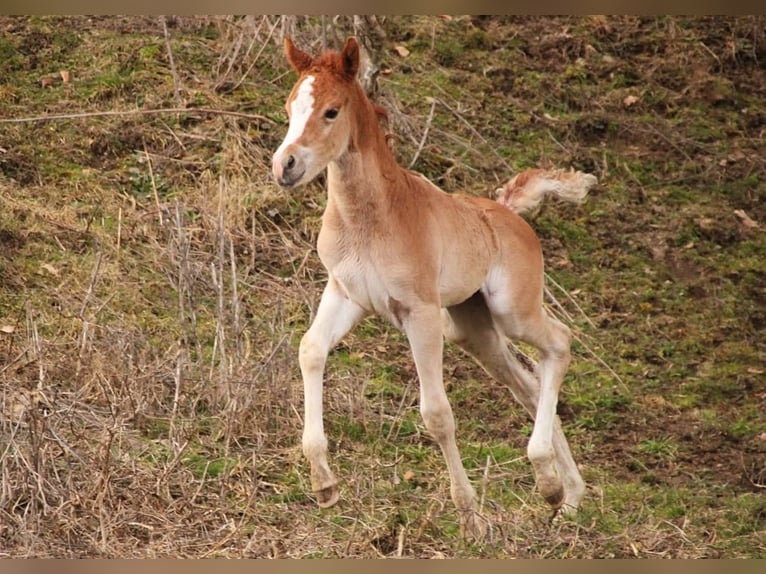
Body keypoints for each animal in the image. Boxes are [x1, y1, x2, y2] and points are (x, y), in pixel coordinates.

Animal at [272, 36, 596, 539]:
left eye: (331, 111)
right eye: (290, 107)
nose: (284, 166)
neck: (368, 217)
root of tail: (508, 213)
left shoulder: (418, 312)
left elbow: (437, 414)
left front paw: (471, 518)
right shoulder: (345, 294)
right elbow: (310, 350)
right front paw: (324, 483)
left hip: (511, 311)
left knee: (559, 343)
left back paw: (549, 479)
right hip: (472, 330)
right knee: (526, 383)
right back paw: (566, 494)